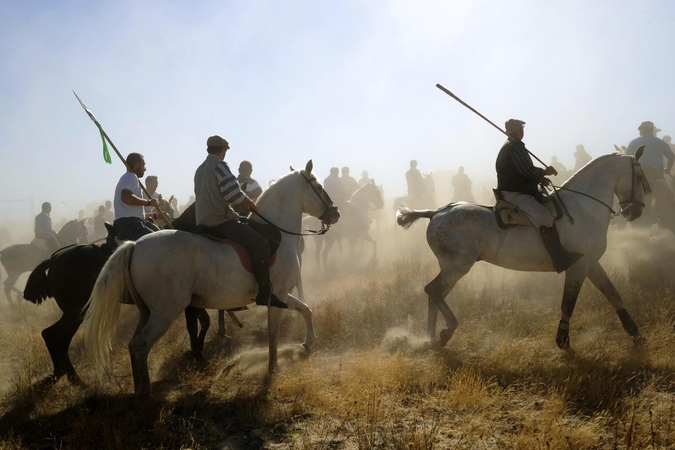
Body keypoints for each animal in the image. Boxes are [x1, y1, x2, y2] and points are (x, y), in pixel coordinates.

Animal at [398, 149, 652, 350]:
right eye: (640, 176)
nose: (636, 211)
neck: (582, 209)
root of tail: (435, 212)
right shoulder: (578, 267)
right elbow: (568, 304)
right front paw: (563, 342)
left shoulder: (590, 263)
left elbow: (613, 294)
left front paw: (636, 333)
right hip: (457, 266)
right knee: (433, 290)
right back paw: (446, 330)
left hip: (453, 268)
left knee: (435, 294)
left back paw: (431, 338)